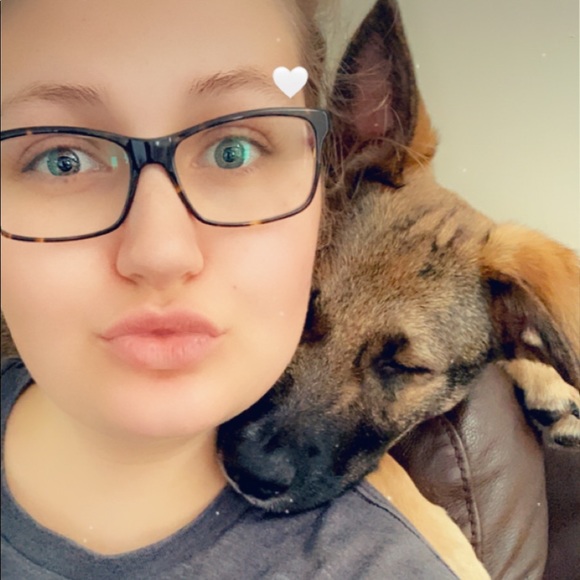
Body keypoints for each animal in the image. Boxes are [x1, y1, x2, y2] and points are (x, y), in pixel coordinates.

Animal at [217, 0, 579, 576]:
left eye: (406, 368)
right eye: (296, 313)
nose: (249, 471)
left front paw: (548, 377)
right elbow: (397, 480)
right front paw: (457, 552)